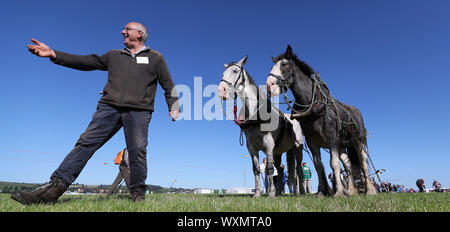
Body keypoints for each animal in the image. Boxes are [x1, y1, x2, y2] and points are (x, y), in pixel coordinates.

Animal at [218, 55, 302, 197]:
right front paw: (257, 193)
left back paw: (298, 192)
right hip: (278, 151)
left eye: (235, 71)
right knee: (280, 169)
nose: (221, 90)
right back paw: (279, 192)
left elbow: (269, 168)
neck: (255, 113)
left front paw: (271, 193)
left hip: (297, 147)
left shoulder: (268, 144)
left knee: (297, 169)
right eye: (223, 73)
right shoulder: (251, 146)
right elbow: (256, 169)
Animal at [268, 44, 376, 196]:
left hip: (358, 141)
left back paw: (370, 190)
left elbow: (334, 163)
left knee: (363, 163)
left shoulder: (332, 138)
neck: (313, 103)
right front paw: (322, 191)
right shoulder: (312, 141)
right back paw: (351, 191)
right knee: (348, 164)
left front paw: (338, 192)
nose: (269, 84)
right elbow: (318, 164)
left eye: (284, 64)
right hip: (342, 145)